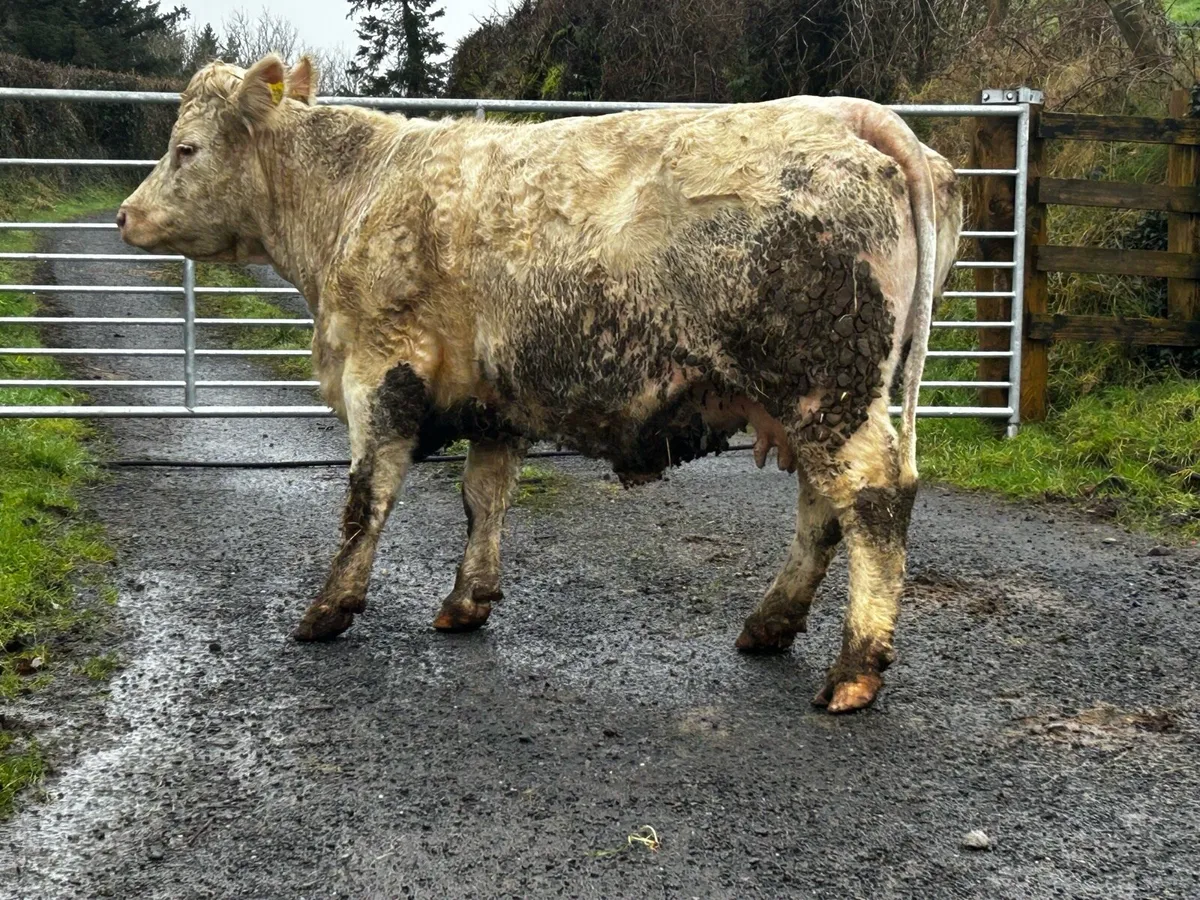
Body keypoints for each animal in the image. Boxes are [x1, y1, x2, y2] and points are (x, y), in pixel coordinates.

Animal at [118, 54, 962, 713]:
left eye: (186, 149)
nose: (125, 214)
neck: (359, 195)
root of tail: (851, 114)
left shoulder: (379, 371)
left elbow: (366, 500)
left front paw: (329, 610)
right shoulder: (495, 402)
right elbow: (483, 498)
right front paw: (467, 601)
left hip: (825, 387)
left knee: (873, 498)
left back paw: (854, 671)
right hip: (825, 398)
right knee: (824, 510)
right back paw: (769, 625)